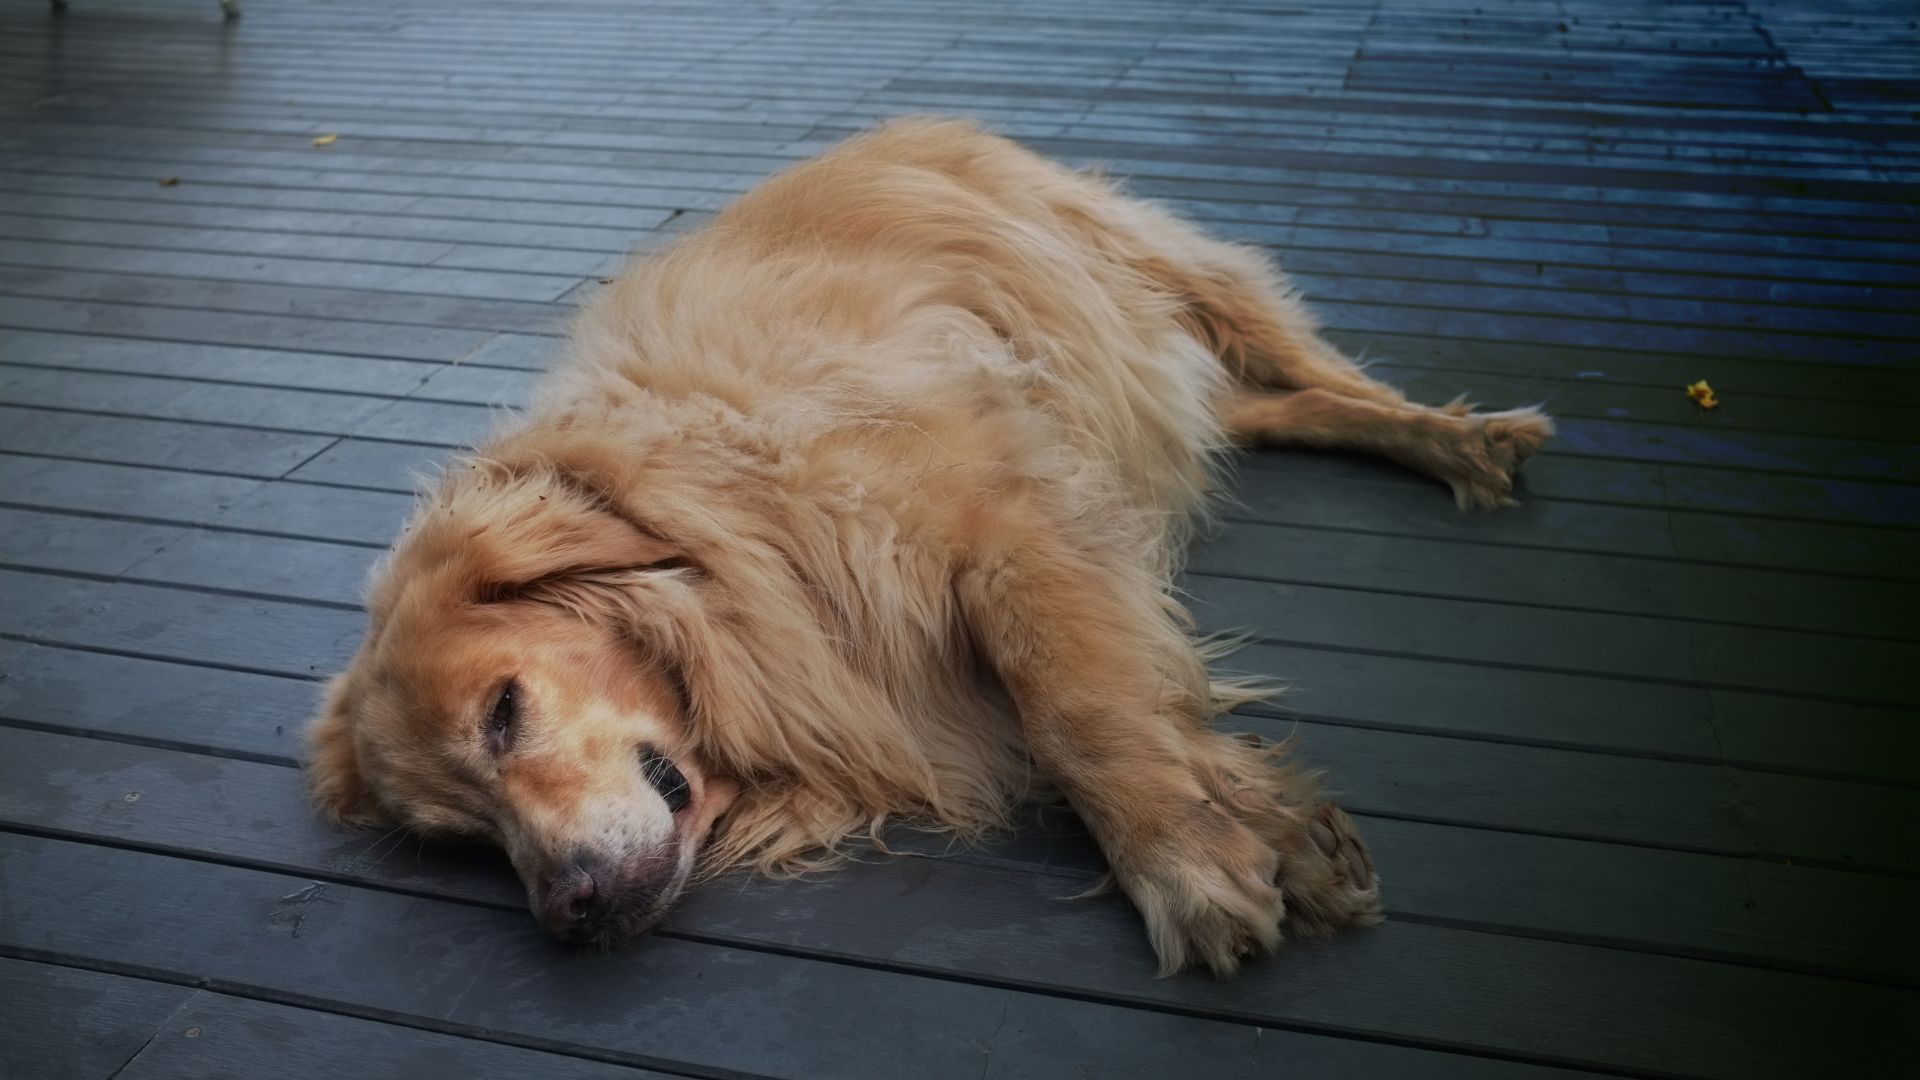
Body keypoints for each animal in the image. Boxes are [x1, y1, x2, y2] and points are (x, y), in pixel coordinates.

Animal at [307, 119, 1551, 976]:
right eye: (463, 839)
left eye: (503, 712)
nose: (567, 915)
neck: (726, 519)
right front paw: (1271, 831)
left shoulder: (1010, 523)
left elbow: (1079, 711)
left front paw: (1182, 860)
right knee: (1265, 409)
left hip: (1159, 269)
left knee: (1319, 371)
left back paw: (1457, 438)